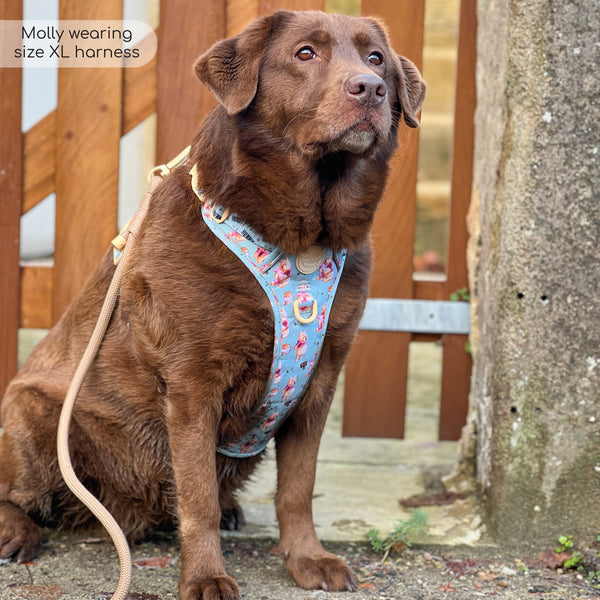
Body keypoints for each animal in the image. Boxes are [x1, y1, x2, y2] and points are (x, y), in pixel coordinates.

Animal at [0, 10, 422, 600]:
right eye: (306, 53)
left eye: (376, 58)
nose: (370, 88)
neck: (303, 243)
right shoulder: (192, 383)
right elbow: (196, 494)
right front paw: (205, 576)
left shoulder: (319, 382)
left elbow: (298, 487)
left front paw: (307, 559)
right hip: (34, 414)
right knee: (14, 493)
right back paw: (19, 532)